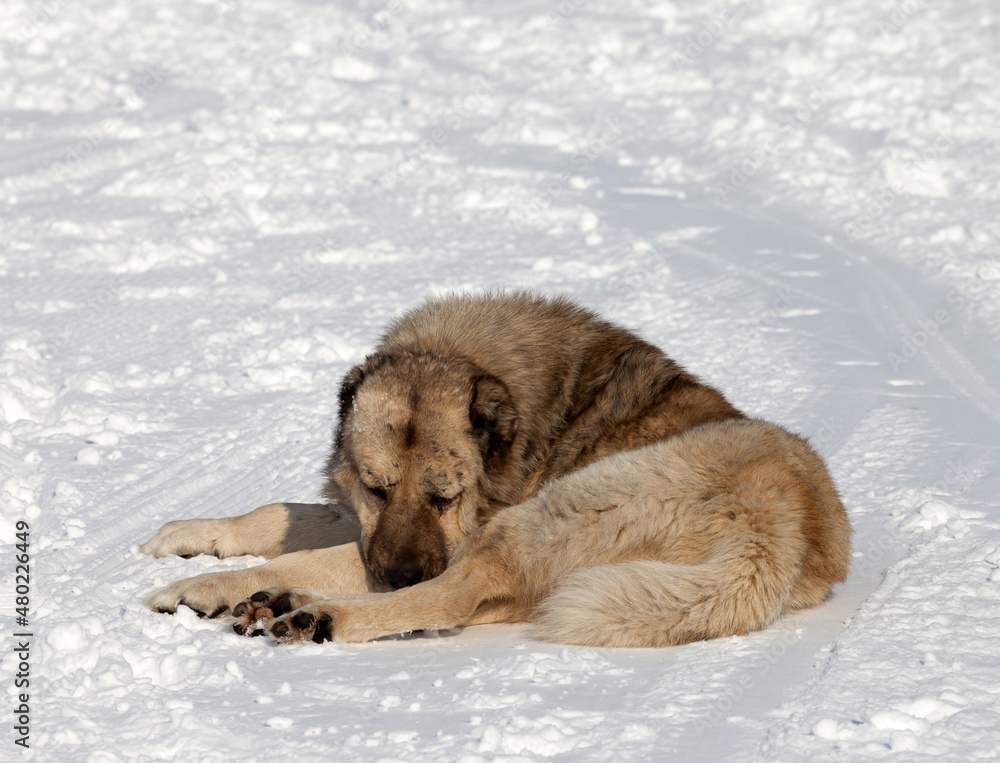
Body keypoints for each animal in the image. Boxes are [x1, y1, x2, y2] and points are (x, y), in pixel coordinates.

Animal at [137, 290, 848, 648]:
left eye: (445, 497)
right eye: (377, 488)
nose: (399, 574)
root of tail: (782, 533)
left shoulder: (446, 537)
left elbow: (311, 554)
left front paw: (203, 586)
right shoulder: (366, 525)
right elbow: (283, 515)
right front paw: (187, 535)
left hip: (556, 511)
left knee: (452, 594)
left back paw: (316, 615)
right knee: (475, 604)